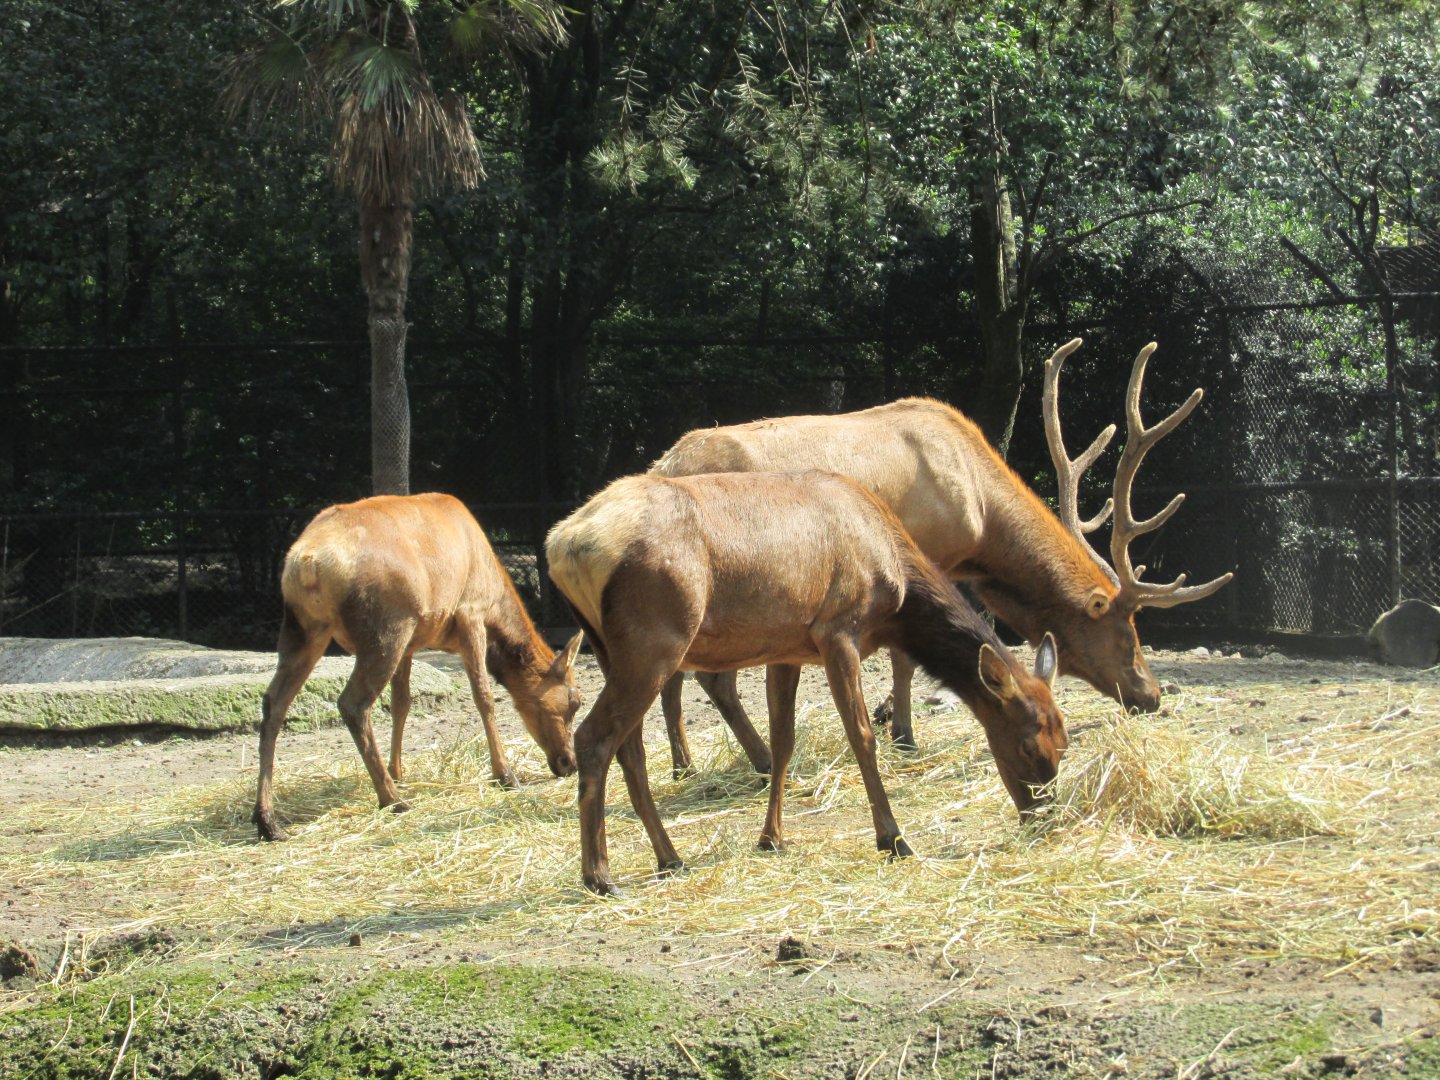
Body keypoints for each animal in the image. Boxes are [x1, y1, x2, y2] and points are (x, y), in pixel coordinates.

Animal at [253, 493, 583, 842]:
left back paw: (267, 820)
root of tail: (306, 562)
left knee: (274, 703)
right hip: (386, 629)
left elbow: (402, 704)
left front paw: (398, 772)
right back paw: (391, 800)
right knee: (353, 704)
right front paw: (505, 775)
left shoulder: (412, 645)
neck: (497, 603)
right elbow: (484, 698)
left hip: (305, 630)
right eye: (574, 701)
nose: (568, 762)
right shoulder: (470, 615)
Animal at [545, 470, 1067, 896]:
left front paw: (771, 838)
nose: (1044, 817)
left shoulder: (787, 649)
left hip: (614, 649)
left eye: (1064, 742)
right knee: (594, 739)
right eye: (1027, 743)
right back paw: (600, 876)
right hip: (656, 640)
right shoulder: (838, 629)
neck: (896, 586)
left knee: (629, 751)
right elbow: (862, 736)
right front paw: (893, 838)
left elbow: (783, 742)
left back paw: (670, 858)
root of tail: (561, 545)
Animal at [650, 339, 1232, 776]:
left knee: (675, 673)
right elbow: (905, 658)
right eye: (1127, 632)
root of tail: (664, 464)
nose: (1151, 695)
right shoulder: (927, 553)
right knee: (708, 677)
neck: (980, 513)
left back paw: (684, 764)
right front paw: (905, 735)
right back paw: (761, 759)